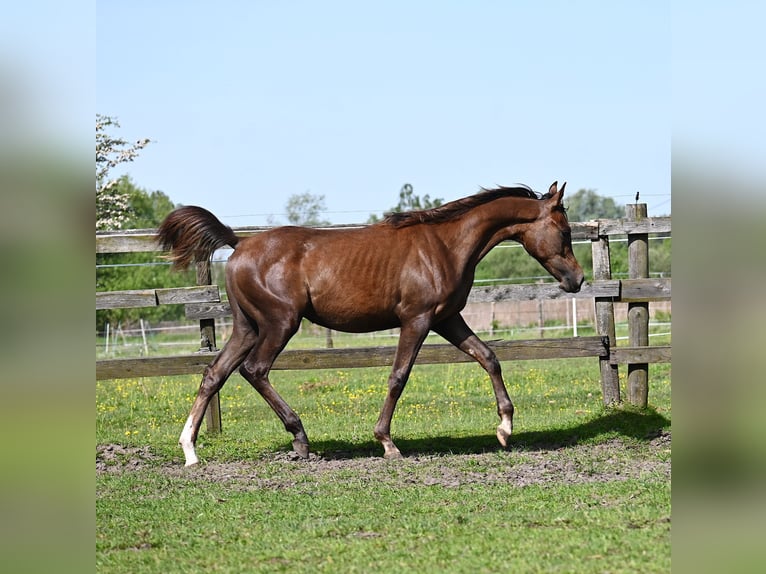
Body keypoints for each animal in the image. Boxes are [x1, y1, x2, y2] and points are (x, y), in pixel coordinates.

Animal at [159, 182, 584, 466]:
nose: (577, 280)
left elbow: (488, 357)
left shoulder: (448, 318)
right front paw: (387, 442)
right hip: (280, 323)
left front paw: (505, 429)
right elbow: (398, 376)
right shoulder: (417, 319)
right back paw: (300, 438)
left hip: (248, 326)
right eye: (564, 231)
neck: (445, 246)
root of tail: (239, 244)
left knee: (214, 373)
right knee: (255, 370)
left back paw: (190, 451)